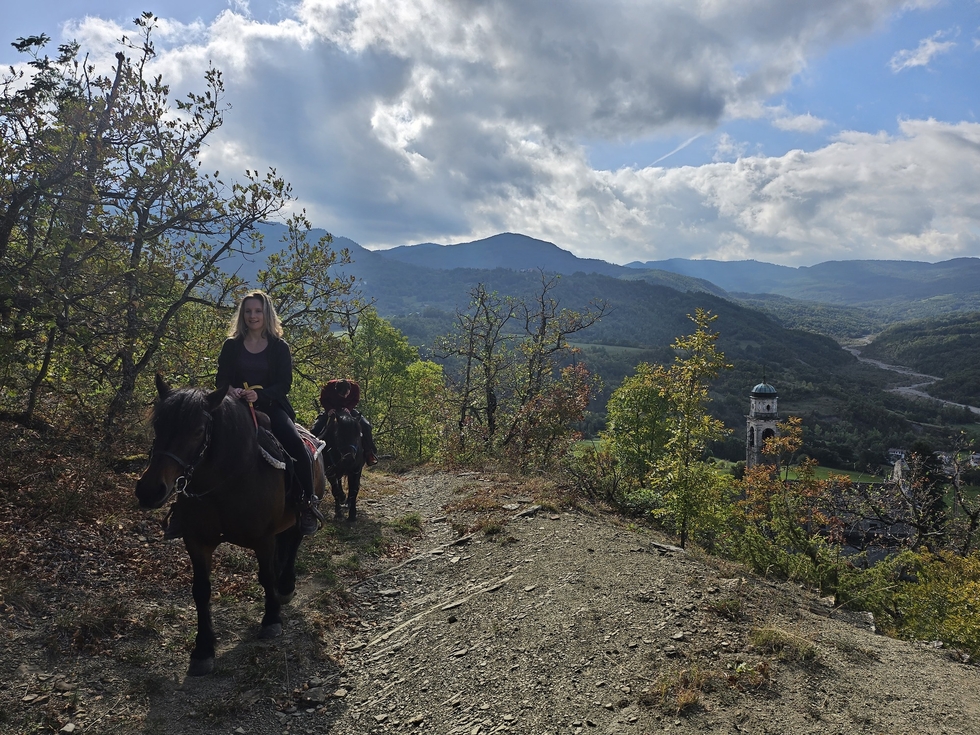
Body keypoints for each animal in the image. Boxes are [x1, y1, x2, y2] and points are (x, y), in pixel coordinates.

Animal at [135, 374, 326, 680]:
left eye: (198, 430)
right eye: (157, 425)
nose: (149, 490)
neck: (226, 480)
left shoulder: (263, 539)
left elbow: (265, 576)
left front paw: (271, 619)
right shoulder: (197, 541)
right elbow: (201, 590)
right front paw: (203, 650)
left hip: (299, 516)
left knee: (294, 542)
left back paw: (285, 586)